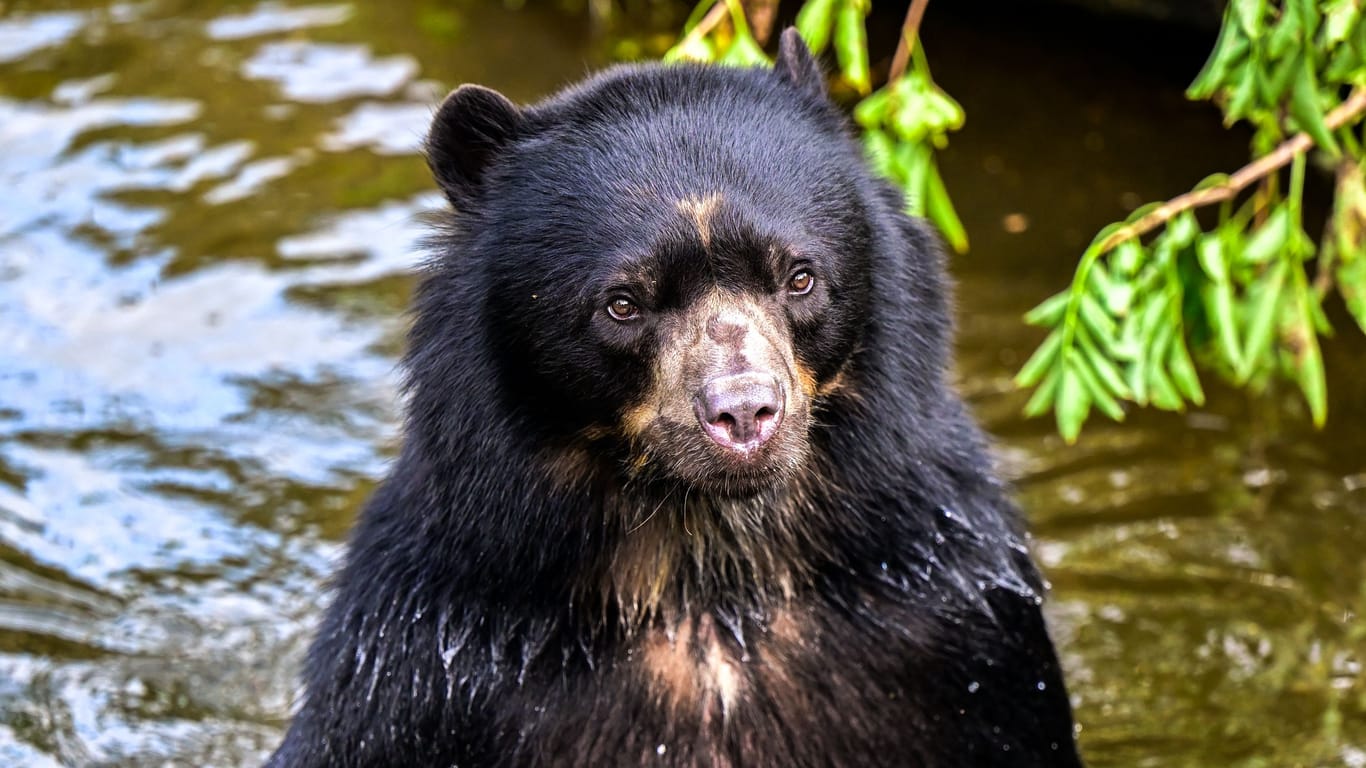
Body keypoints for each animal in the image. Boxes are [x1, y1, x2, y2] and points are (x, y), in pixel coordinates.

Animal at [263, 28, 1076, 765]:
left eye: (800, 276)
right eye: (623, 303)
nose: (744, 414)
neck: (705, 571)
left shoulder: (957, 632)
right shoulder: (427, 669)